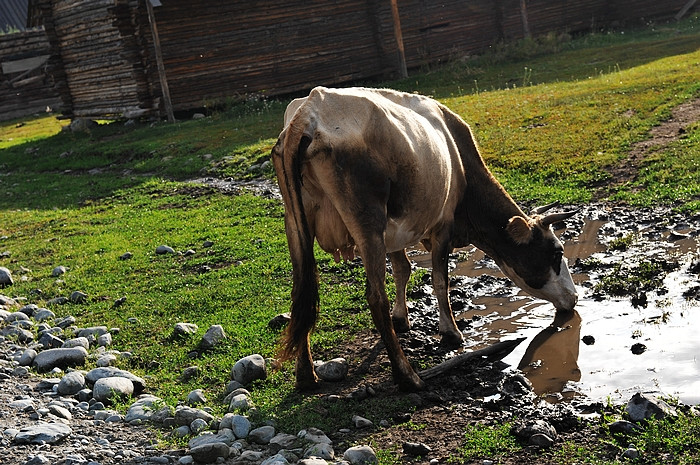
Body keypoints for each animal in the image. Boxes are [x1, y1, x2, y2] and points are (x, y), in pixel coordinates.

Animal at [270, 85, 576, 390]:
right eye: (557, 252)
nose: (573, 297)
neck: (460, 161)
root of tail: (309, 112)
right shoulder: (442, 227)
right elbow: (440, 280)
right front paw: (451, 333)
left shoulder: (394, 232)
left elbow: (403, 270)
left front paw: (401, 319)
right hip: (367, 220)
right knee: (375, 296)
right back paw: (407, 375)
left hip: (295, 222)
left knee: (302, 294)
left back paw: (305, 375)